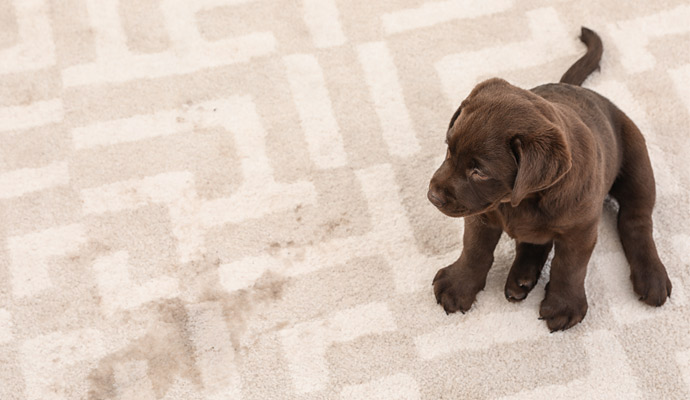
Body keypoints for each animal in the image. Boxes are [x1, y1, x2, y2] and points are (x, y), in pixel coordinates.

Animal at [428, 28, 668, 332]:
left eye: (479, 171)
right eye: (449, 148)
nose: (432, 196)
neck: (523, 200)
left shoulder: (580, 230)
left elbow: (569, 266)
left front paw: (564, 306)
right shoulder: (481, 214)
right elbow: (474, 249)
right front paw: (458, 286)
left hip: (638, 165)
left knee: (636, 221)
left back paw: (652, 277)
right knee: (534, 240)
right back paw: (521, 277)